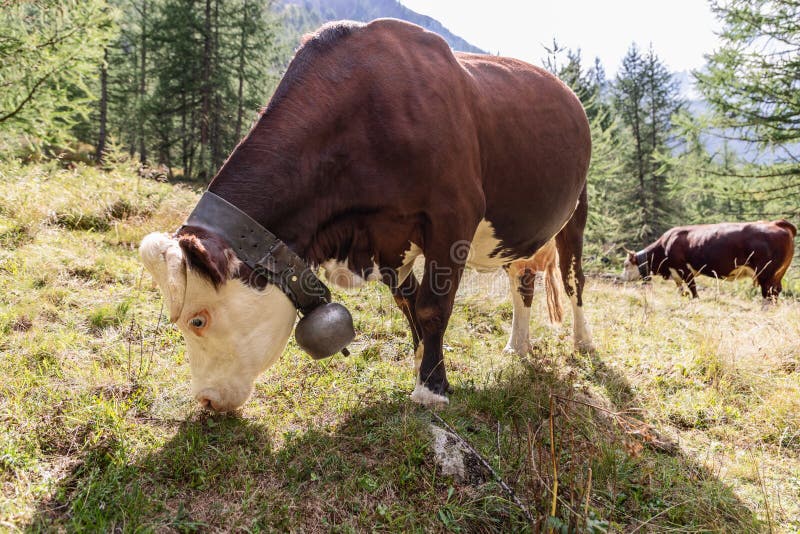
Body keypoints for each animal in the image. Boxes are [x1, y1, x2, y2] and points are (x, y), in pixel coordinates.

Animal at [138, 18, 592, 412]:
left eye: (198, 320)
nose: (205, 399)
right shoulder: (386, 236)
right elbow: (408, 303)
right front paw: (420, 364)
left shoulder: (453, 216)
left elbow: (433, 306)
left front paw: (431, 388)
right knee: (522, 282)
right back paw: (517, 346)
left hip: (577, 212)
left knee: (574, 280)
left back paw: (583, 343)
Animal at [620, 219, 796, 302]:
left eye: (626, 264)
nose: (621, 278)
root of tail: (775, 223)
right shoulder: (675, 272)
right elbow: (680, 288)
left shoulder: (684, 269)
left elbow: (692, 287)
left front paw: (695, 299)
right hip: (778, 273)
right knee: (776, 292)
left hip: (765, 273)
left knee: (768, 294)